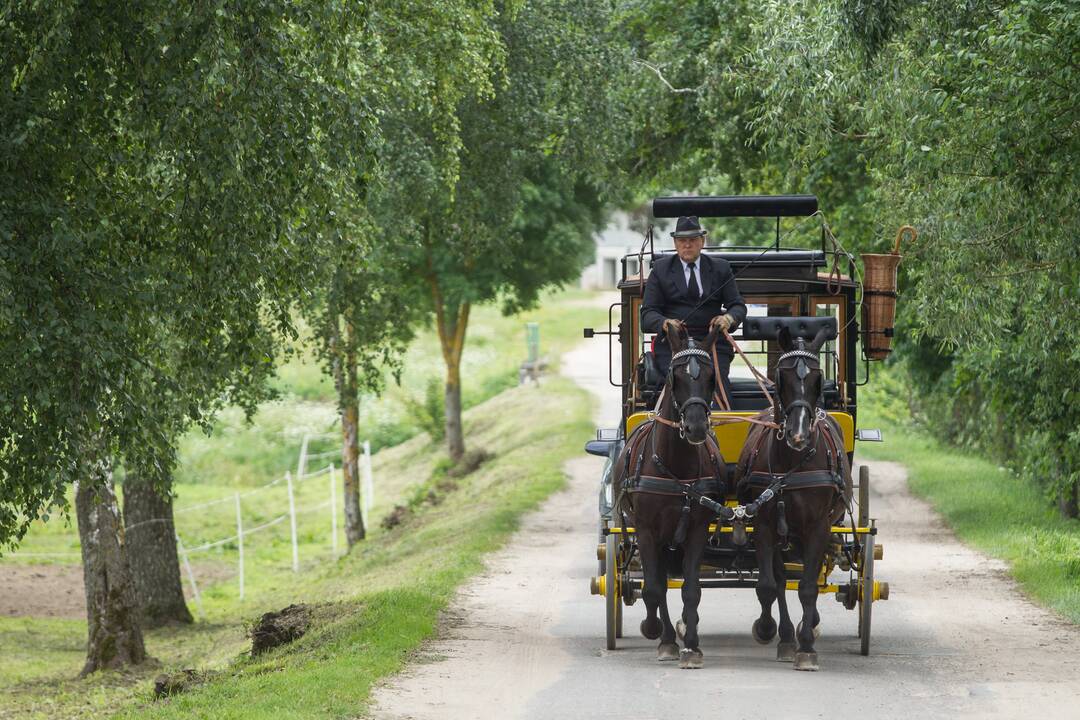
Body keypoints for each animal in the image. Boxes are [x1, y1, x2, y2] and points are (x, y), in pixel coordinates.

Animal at [613, 323, 730, 669]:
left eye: (711, 376)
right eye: (673, 376)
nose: (695, 427)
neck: (675, 465)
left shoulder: (696, 530)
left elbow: (691, 589)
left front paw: (691, 646)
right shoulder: (647, 531)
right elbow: (653, 587)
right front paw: (659, 634)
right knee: (659, 584)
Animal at [734, 323, 851, 673]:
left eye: (816, 380)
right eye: (780, 379)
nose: (798, 435)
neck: (792, 463)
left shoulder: (818, 527)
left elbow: (809, 586)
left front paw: (807, 646)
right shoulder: (764, 524)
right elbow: (770, 585)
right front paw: (770, 630)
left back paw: (806, 627)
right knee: (783, 579)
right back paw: (787, 636)